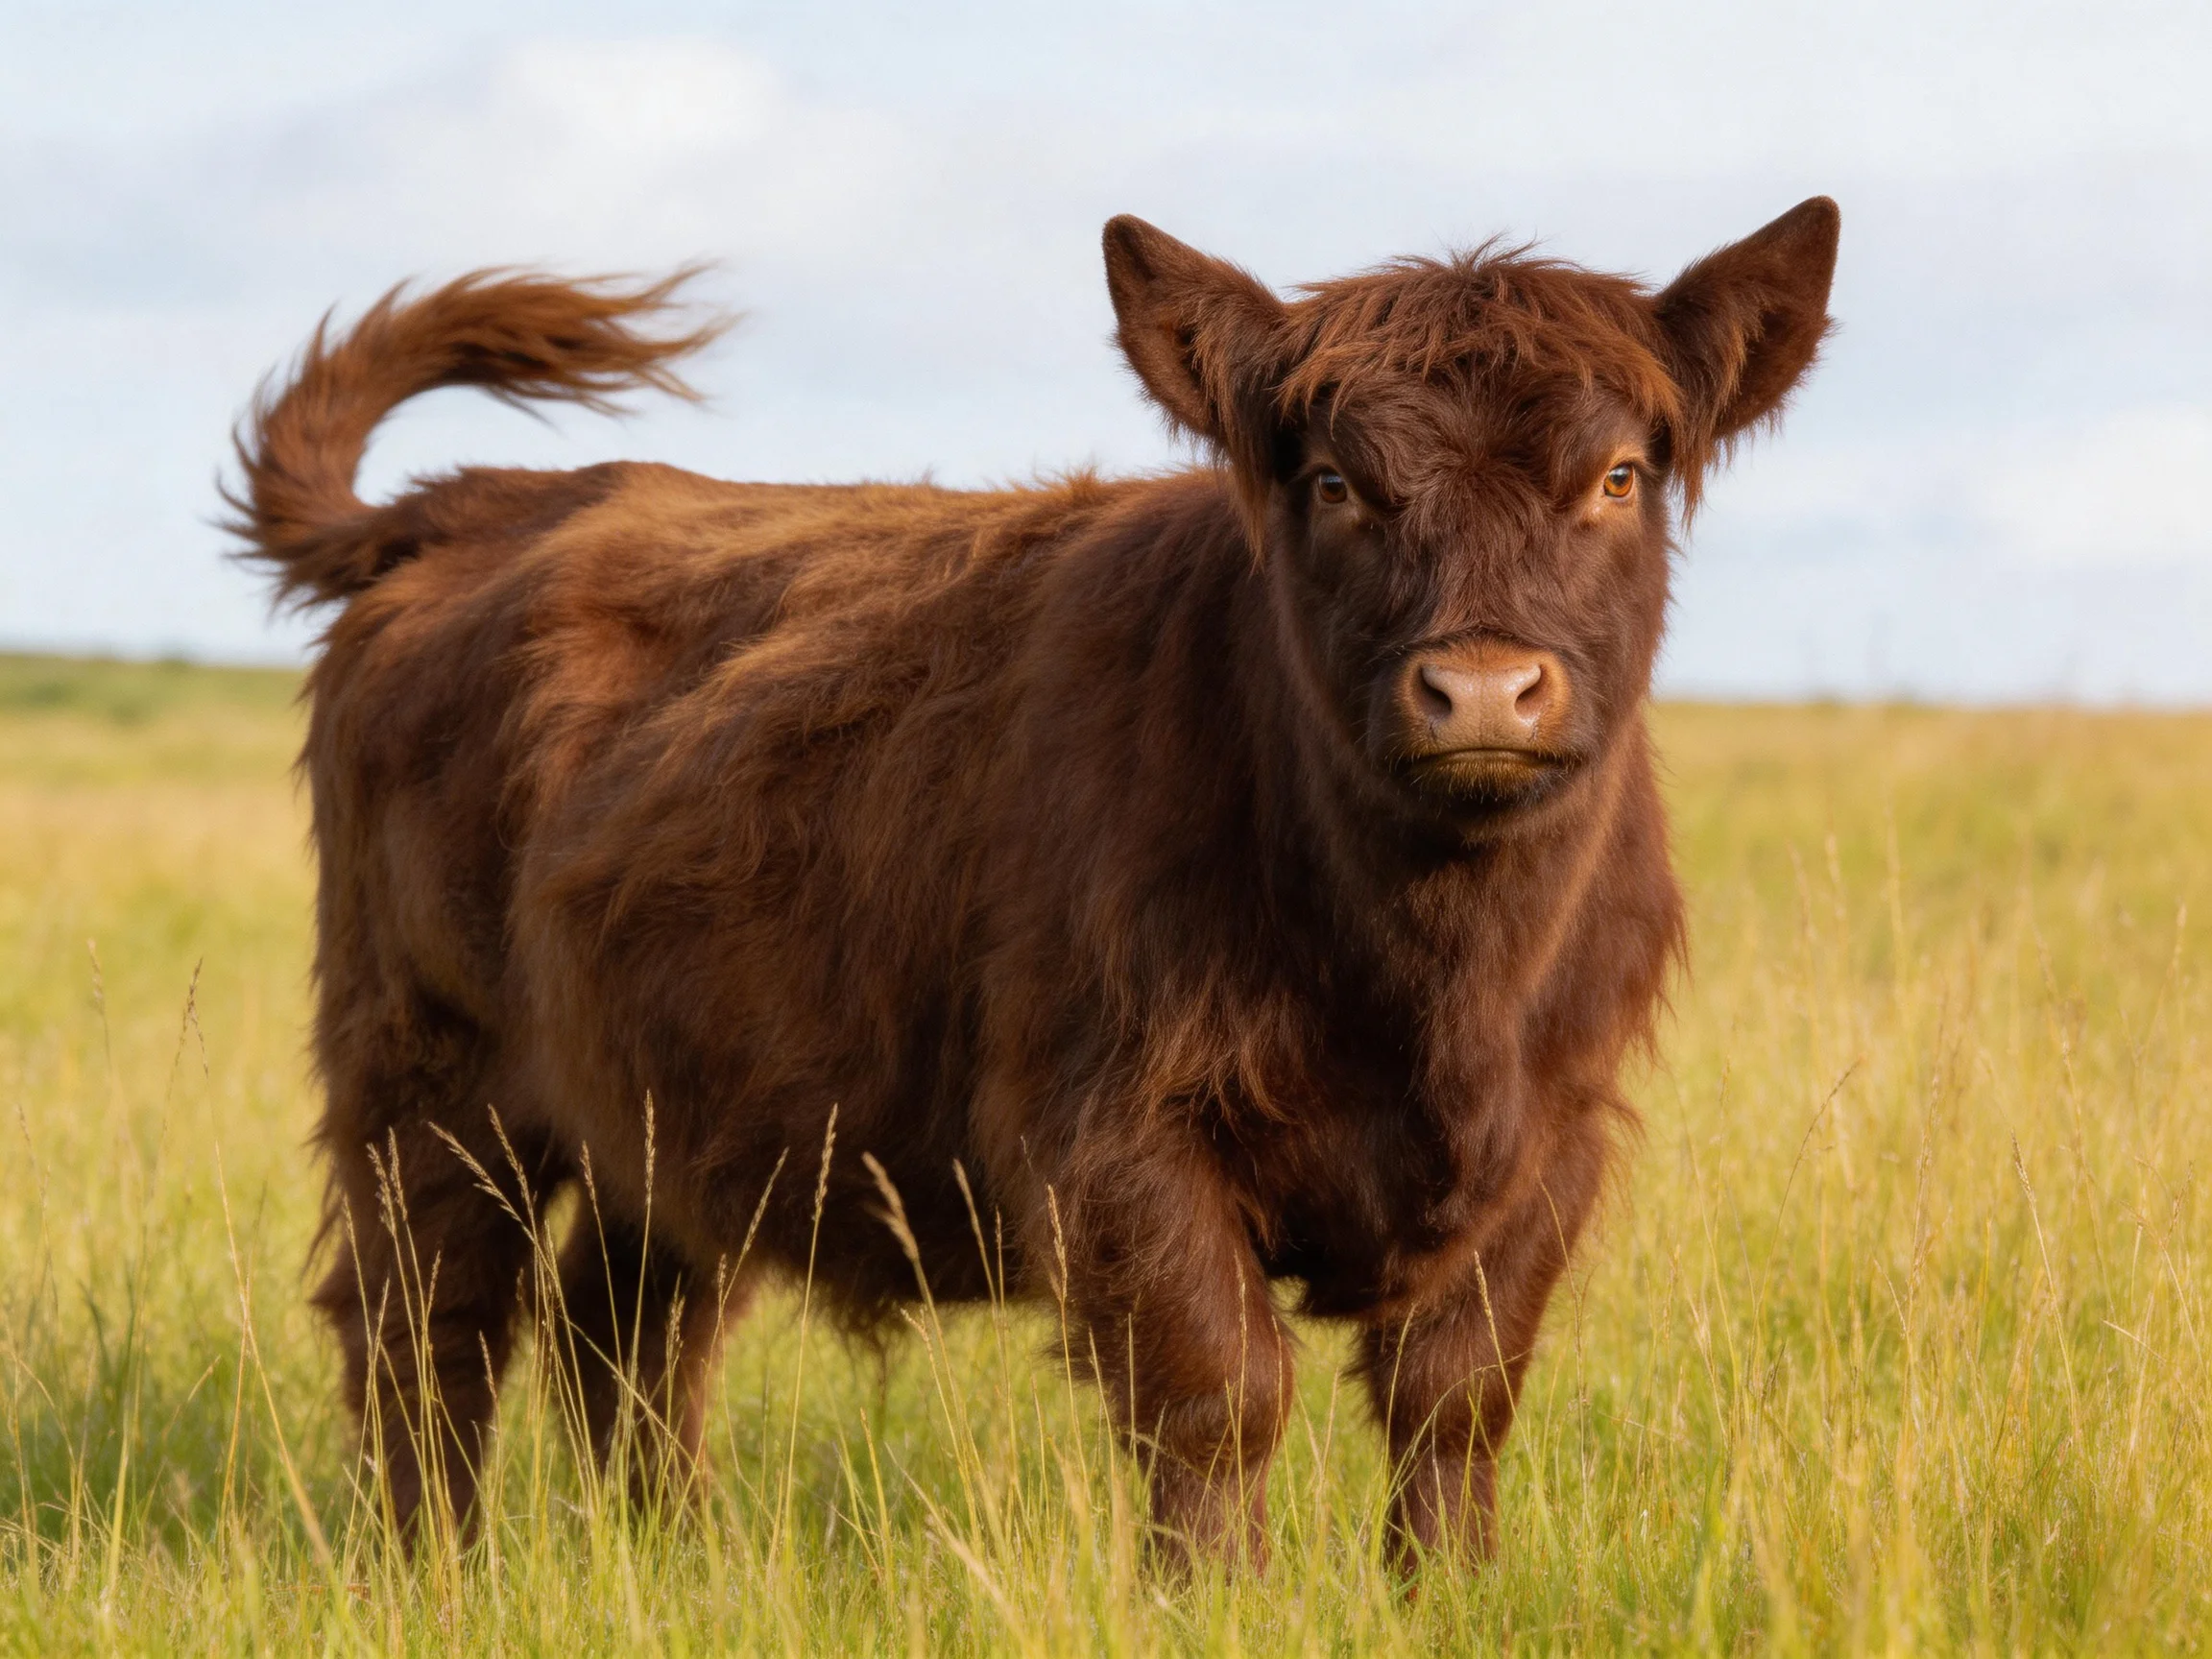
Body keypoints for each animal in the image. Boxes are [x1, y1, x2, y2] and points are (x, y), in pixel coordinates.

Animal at [229, 198, 1837, 1569]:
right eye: (1335, 482)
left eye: (1616, 477)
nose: (1486, 690)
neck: (1437, 983)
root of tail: (485, 503)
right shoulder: (1114, 1136)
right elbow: (1220, 1392)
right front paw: (1220, 1602)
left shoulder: (1554, 1139)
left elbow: (1456, 1398)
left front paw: (1443, 1595)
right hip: (428, 1070)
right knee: (428, 1323)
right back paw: (433, 1572)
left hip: (666, 1102)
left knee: (621, 1329)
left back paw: (676, 1554)